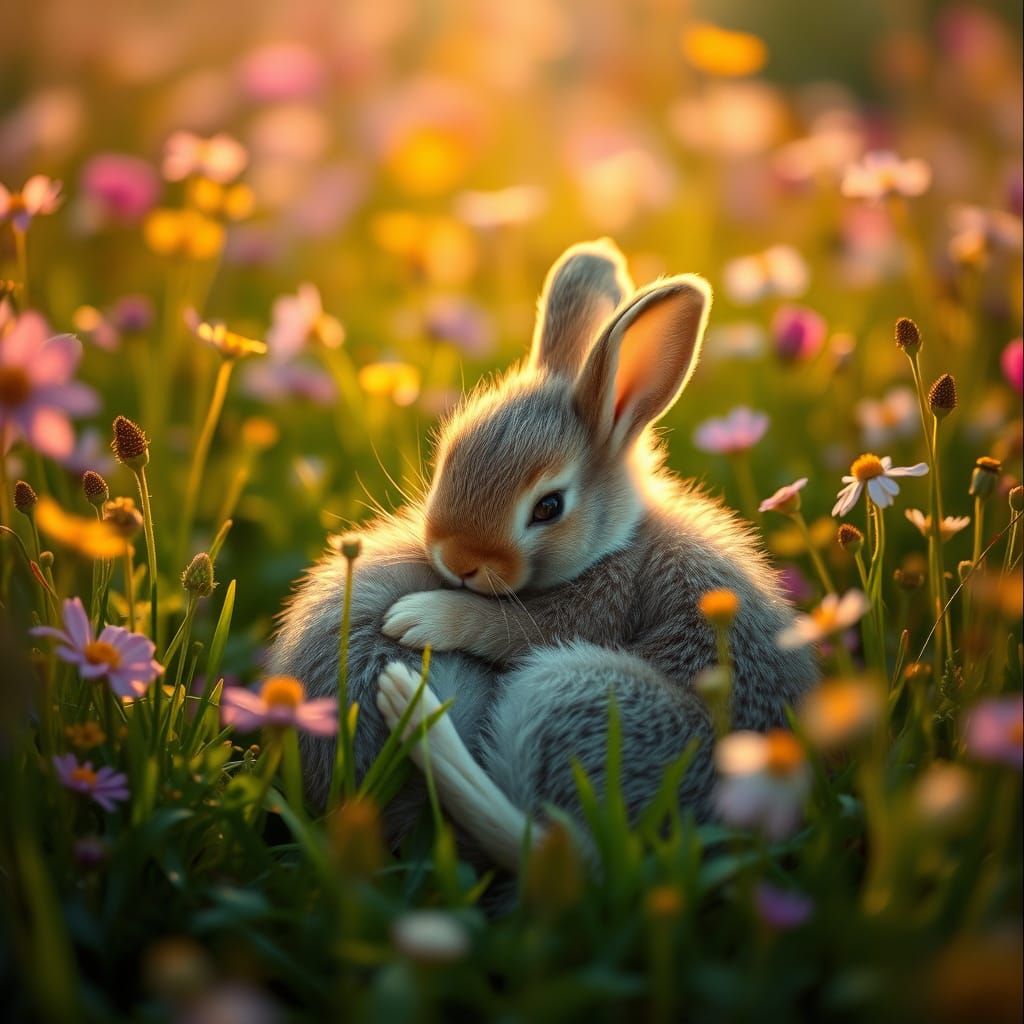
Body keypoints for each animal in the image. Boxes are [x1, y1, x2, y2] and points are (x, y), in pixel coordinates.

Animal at [269, 238, 818, 869]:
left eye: (549, 508)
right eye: (447, 455)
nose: (455, 560)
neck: (618, 540)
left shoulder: (595, 607)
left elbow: (505, 625)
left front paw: (418, 618)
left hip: (565, 689)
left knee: (544, 840)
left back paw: (415, 710)